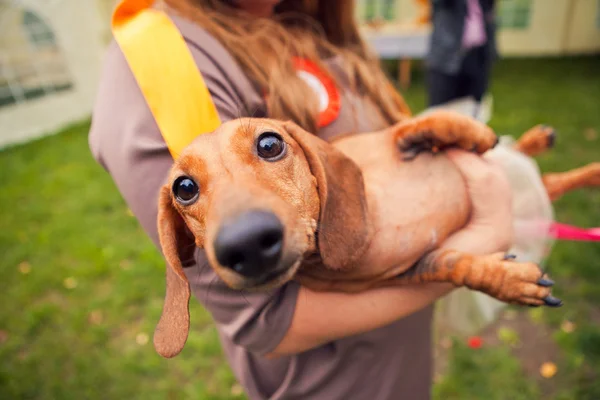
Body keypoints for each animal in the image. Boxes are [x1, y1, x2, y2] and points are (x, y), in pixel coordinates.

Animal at [155, 111, 600, 358]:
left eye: (269, 143)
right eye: (184, 188)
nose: (246, 243)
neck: (376, 216)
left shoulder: (389, 139)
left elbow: (419, 124)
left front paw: (473, 131)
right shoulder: (417, 267)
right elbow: (458, 266)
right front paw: (508, 280)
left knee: (523, 158)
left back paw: (535, 141)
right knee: (553, 181)